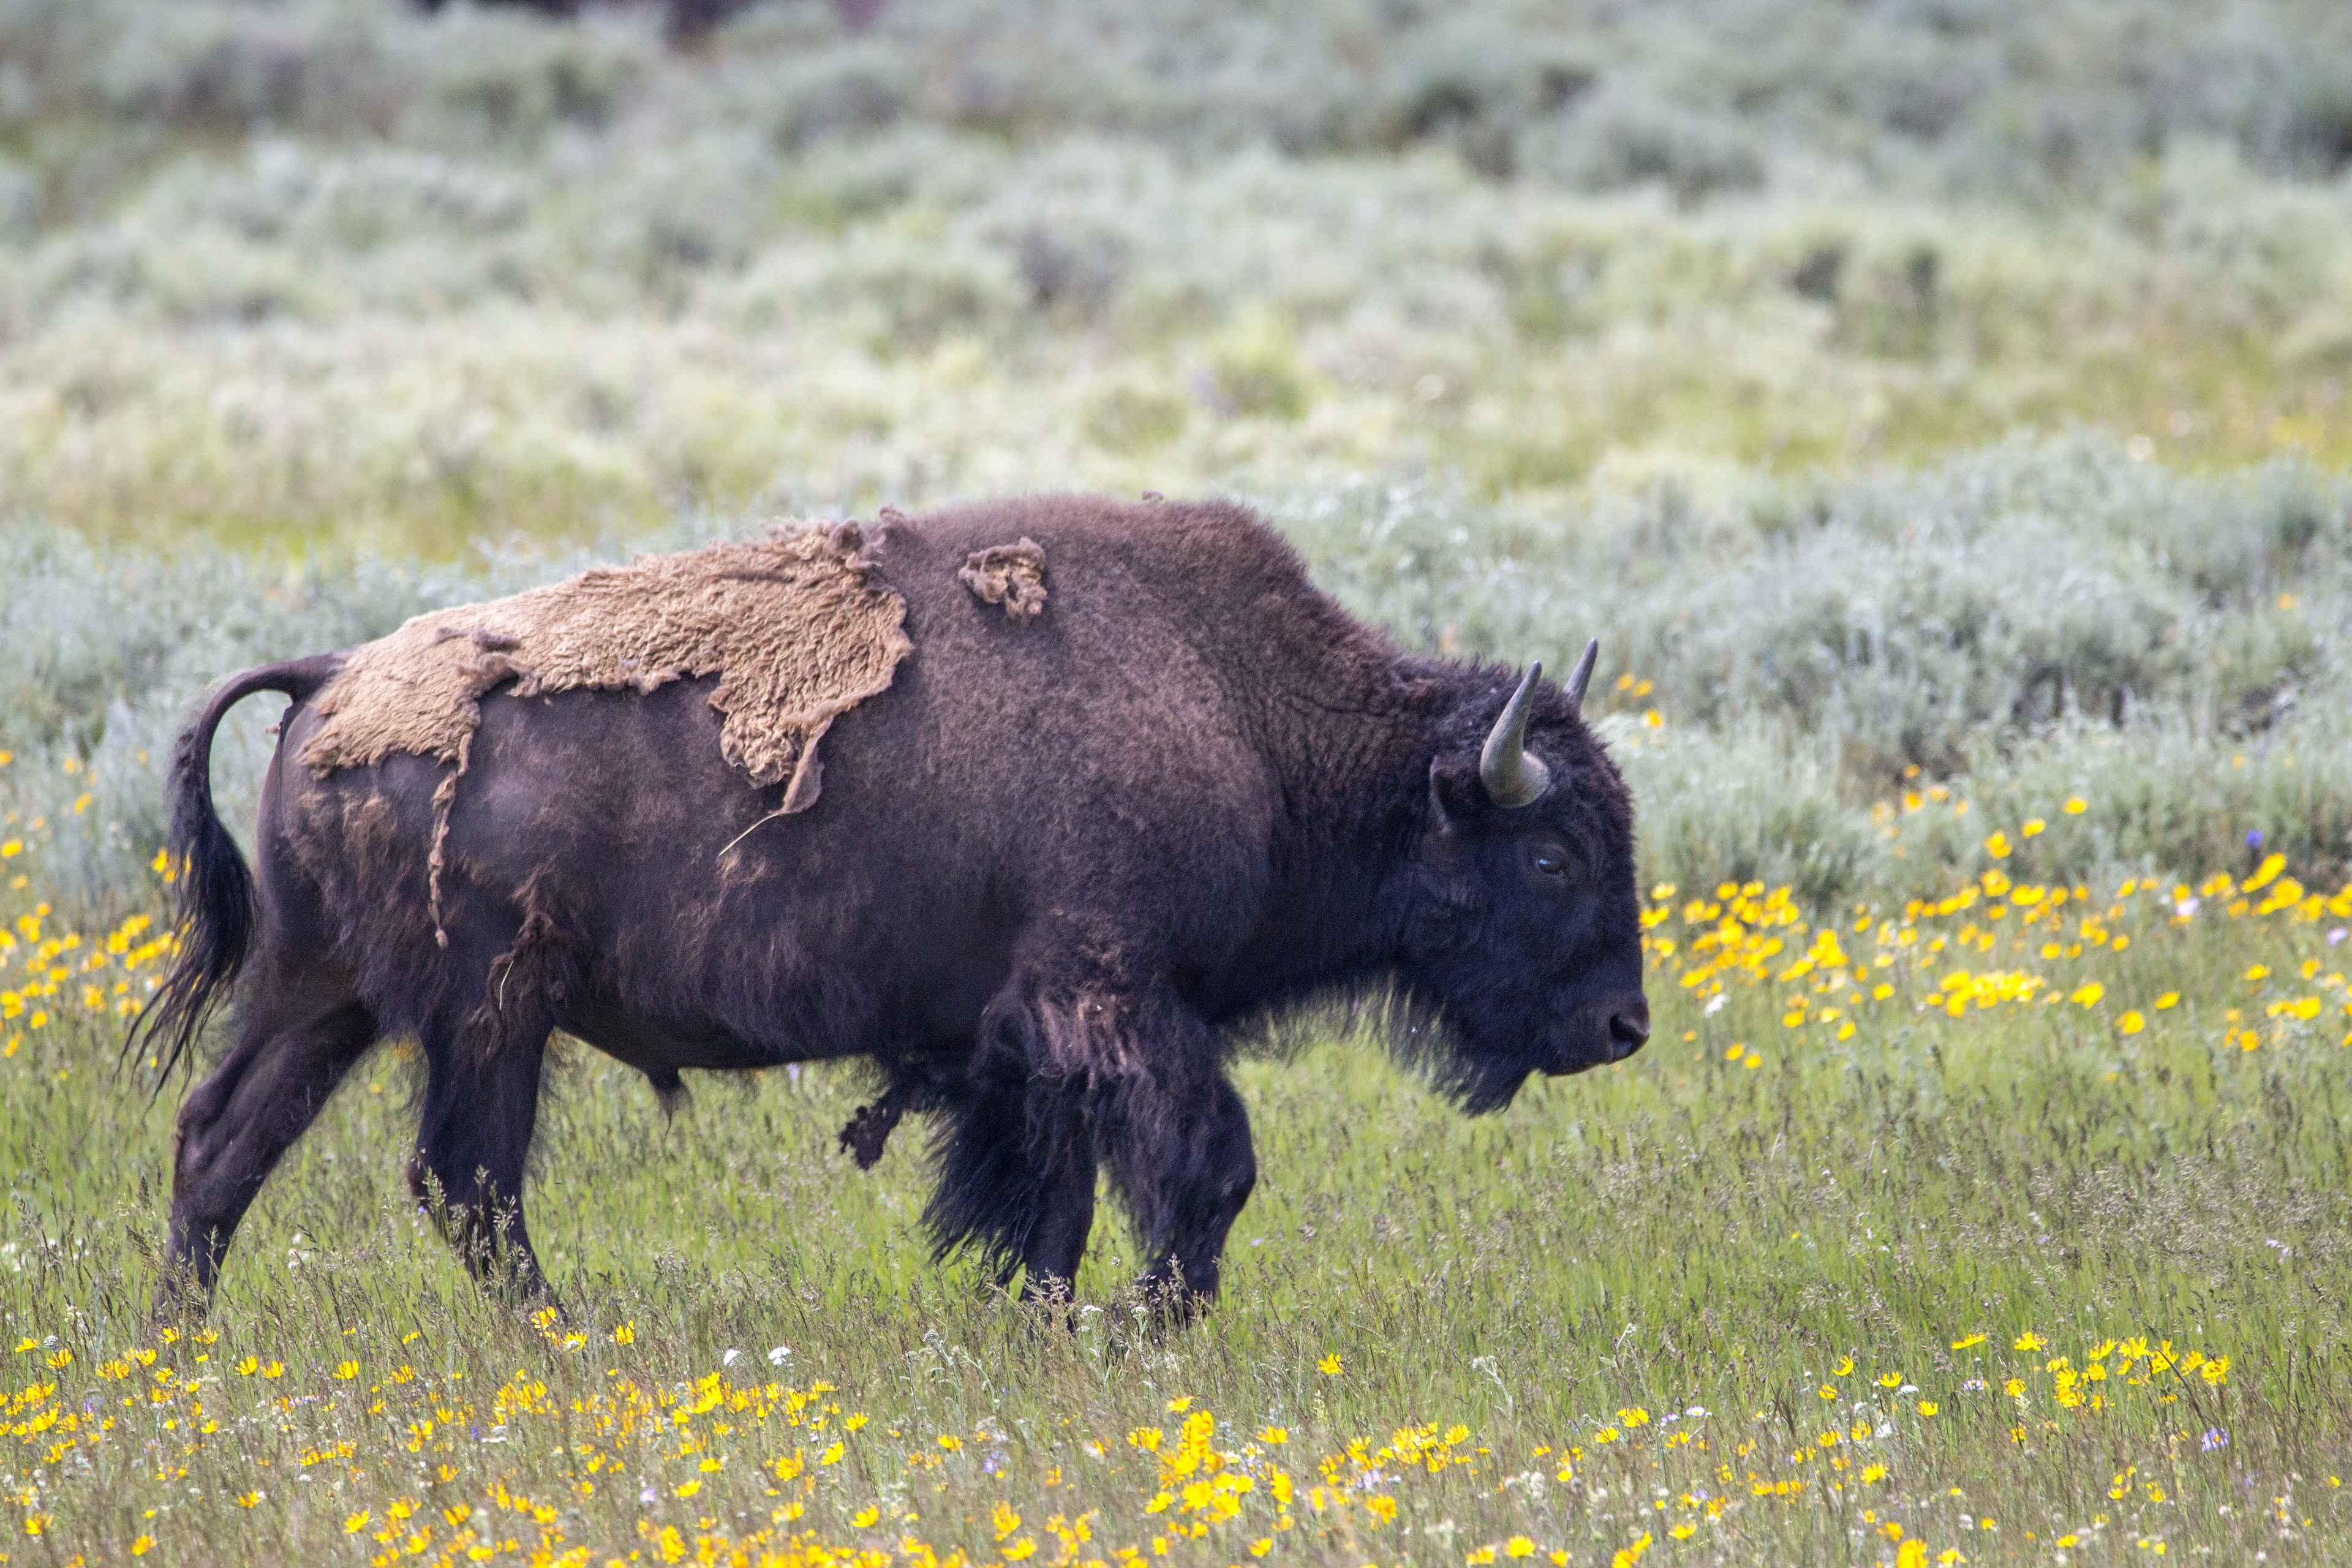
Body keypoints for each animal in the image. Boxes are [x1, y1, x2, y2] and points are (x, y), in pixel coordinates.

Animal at [134, 494, 1647, 1313]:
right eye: (1555, 857)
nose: (1624, 1026)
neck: (1251, 720)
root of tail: (331, 675)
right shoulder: (1116, 1000)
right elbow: (1210, 1173)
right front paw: (1143, 1325)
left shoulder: (1028, 1048)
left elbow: (1052, 1205)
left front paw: (1052, 1322)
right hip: (487, 1016)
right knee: (466, 1183)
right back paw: (564, 1343)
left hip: (327, 991)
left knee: (226, 1139)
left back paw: (181, 1340)